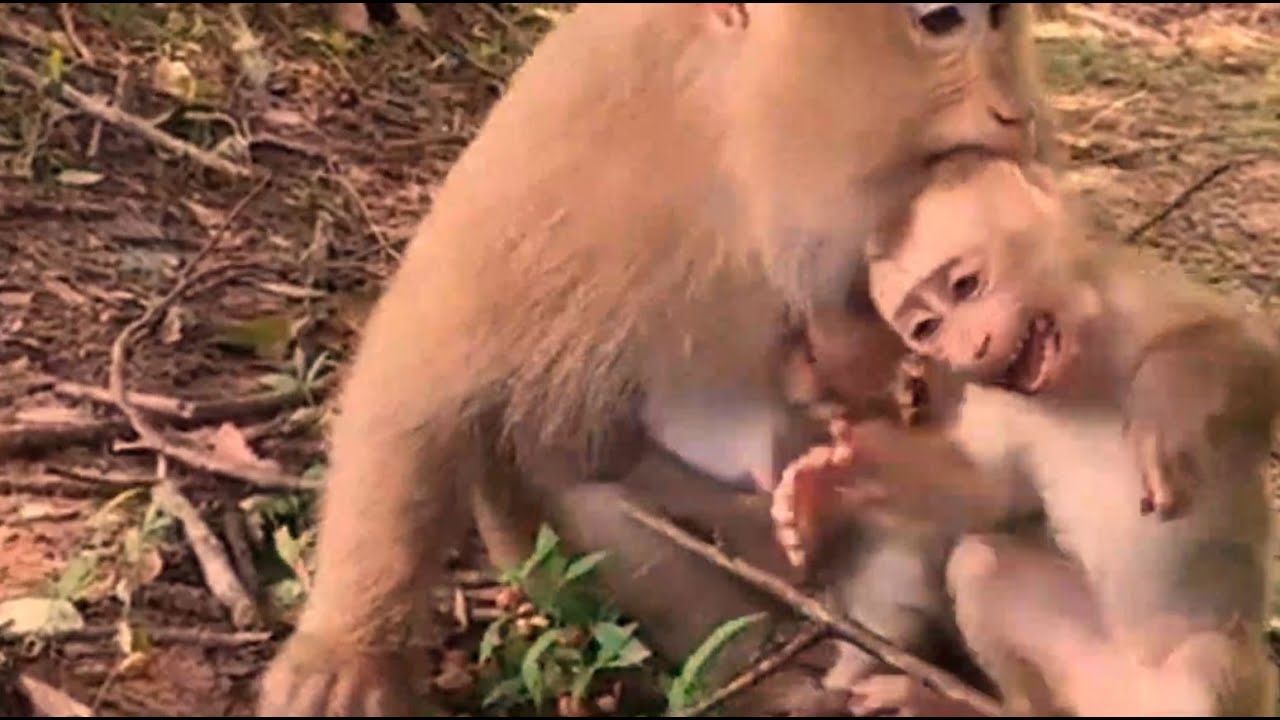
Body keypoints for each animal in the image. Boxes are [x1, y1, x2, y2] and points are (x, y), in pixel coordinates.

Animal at [257, 4, 1053, 715]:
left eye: (998, 16)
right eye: (940, 19)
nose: (1017, 112)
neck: (730, 139)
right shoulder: (571, 137)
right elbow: (426, 373)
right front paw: (348, 653)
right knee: (598, 501)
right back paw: (777, 677)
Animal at [771, 151, 1280, 716]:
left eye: (965, 286)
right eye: (928, 328)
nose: (972, 346)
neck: (1077, 369)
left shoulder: (1140, 298)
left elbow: (1252, 352)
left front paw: (1168, 408)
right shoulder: (993, 396)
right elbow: (990, 491)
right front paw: (837, 475)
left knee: (1207, 663)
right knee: (978, 564)